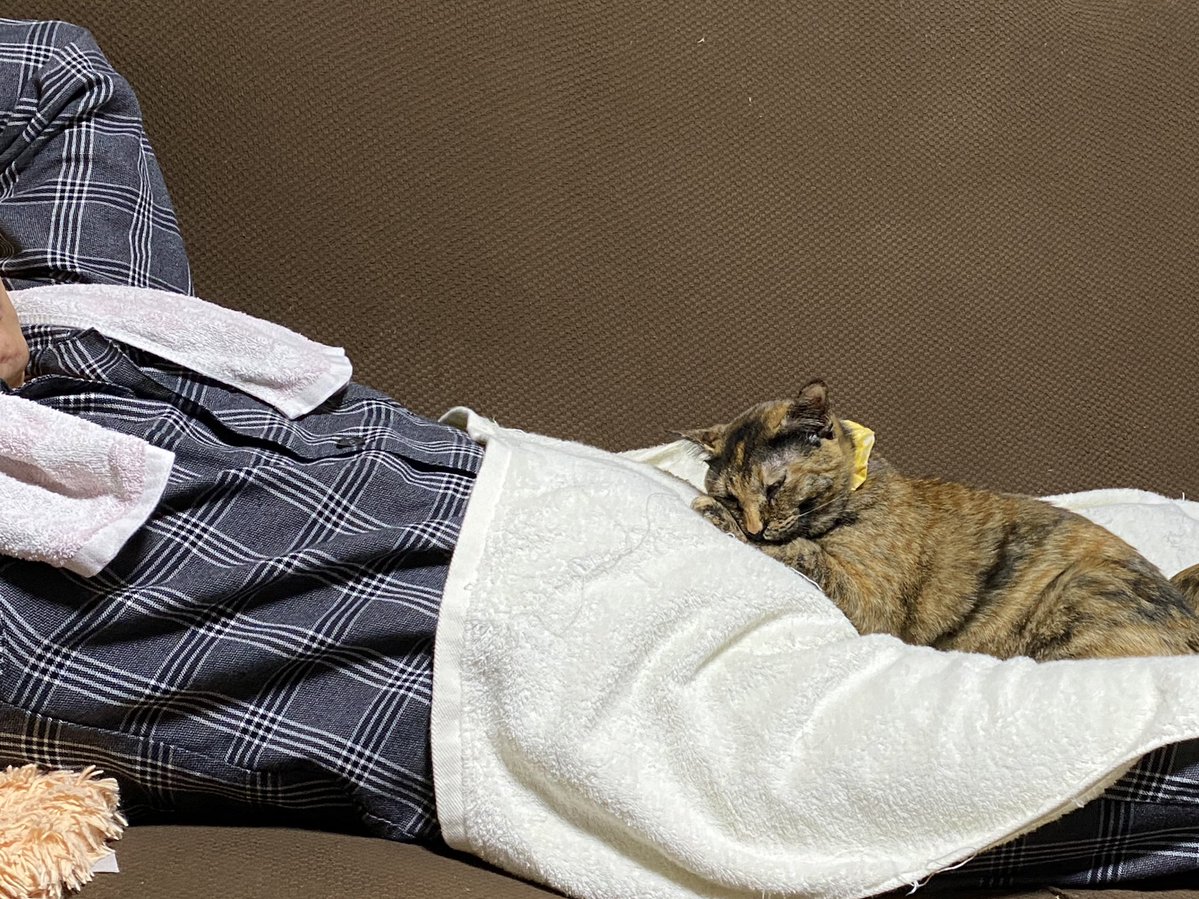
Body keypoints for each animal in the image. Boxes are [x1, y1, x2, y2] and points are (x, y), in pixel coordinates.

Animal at [682, 379, 1199, 661]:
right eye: (731, 494)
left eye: (774, 486)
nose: (753, 525)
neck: (859, 492)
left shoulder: (869, 605)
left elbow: (801, 551)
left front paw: (714, 517)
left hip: (1079, 597)